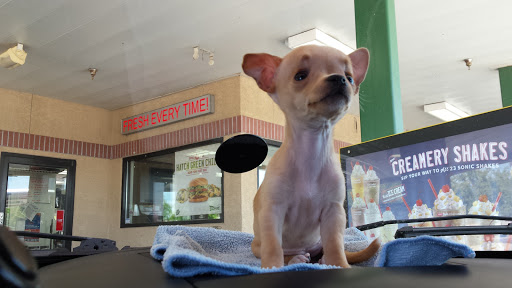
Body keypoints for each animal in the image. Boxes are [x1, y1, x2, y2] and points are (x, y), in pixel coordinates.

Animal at [242, 44, 378, 268]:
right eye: (300, 76)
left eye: (349, 77)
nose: (339, 79)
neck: (312, 149)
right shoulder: (273, 212)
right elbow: (273, 246)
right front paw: (272, 267)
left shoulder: (334, 213)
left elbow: (335, 245)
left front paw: (339, 265)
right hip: (257, 247)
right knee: (282, 252)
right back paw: (294, 258)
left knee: (327, 249)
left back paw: (320, 259)